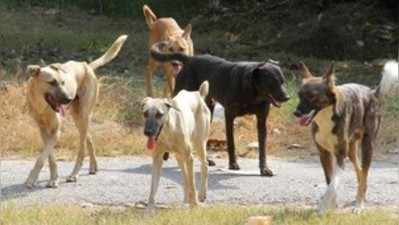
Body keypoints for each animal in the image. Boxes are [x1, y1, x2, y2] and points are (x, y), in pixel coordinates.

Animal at [25, 34, 127, 188]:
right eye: (52, 82)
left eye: (63, 82)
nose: (68, 98)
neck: (42, 106)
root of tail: (86, 65)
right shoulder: (44, 131)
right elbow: (50, 158)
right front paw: (54, 178)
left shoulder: (56, 132)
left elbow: (41, 158)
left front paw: (32, 178)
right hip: (78, 117)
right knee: (89, 138)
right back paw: (93, 166)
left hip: (83, 116)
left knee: (82, 149)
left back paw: (74, 174)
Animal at [150, 41, 290, 177]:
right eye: (272, 82)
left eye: (282, 81)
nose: (287, 97)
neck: (252, 91)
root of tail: (190, 59)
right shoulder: (229, 117)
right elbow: (231, 143)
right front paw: (233, 164)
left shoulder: (261, 121)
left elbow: (262, 148)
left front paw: (264, 169)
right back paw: (166, 153)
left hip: (207, 113)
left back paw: (206, 159)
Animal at [294, 62, 384, 214]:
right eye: (299, 95)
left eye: (312, 96)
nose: (296, 113)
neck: (325, 116)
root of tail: (371, 92)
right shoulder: (324, 154)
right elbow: (329, 181)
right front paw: (332, 206)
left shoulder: (341, 156)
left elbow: (333, 185)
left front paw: (323, 207)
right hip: (351, 151)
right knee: (360, 172)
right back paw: (360, 198)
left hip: (367, 146)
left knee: (364, 173)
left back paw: (359, 205)